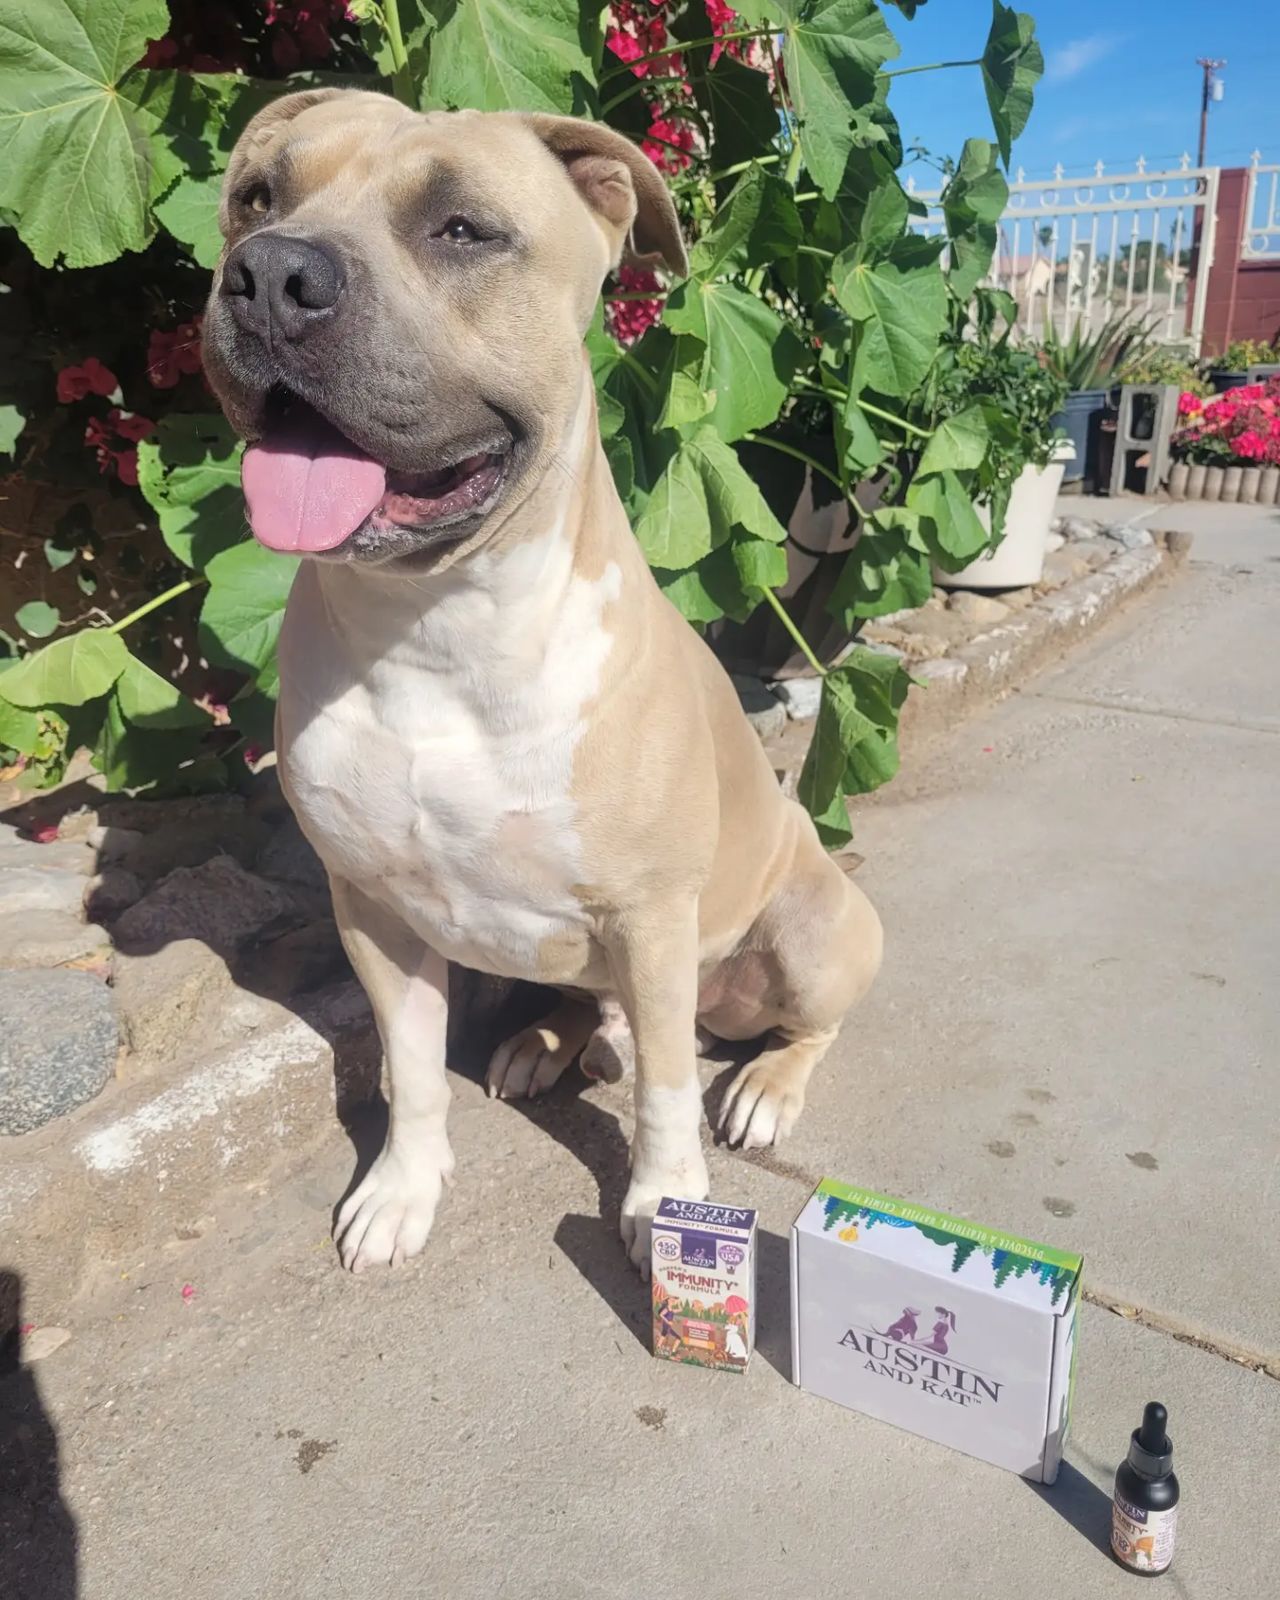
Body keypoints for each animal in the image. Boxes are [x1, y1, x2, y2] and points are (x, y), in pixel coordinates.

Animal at [203, 89, 883, 1274]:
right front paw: (402, 1187)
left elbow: (665, 1094)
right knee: (606, 1015)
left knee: (792, 1025)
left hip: (810, 927)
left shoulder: (650, 916)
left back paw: (762, 1083)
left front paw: (666, 1203)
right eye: (257, 198)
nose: (270, 273)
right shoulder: (370, 908)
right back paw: (550, 1041)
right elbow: (410, 1069)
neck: (438, 631)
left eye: (463, 229)